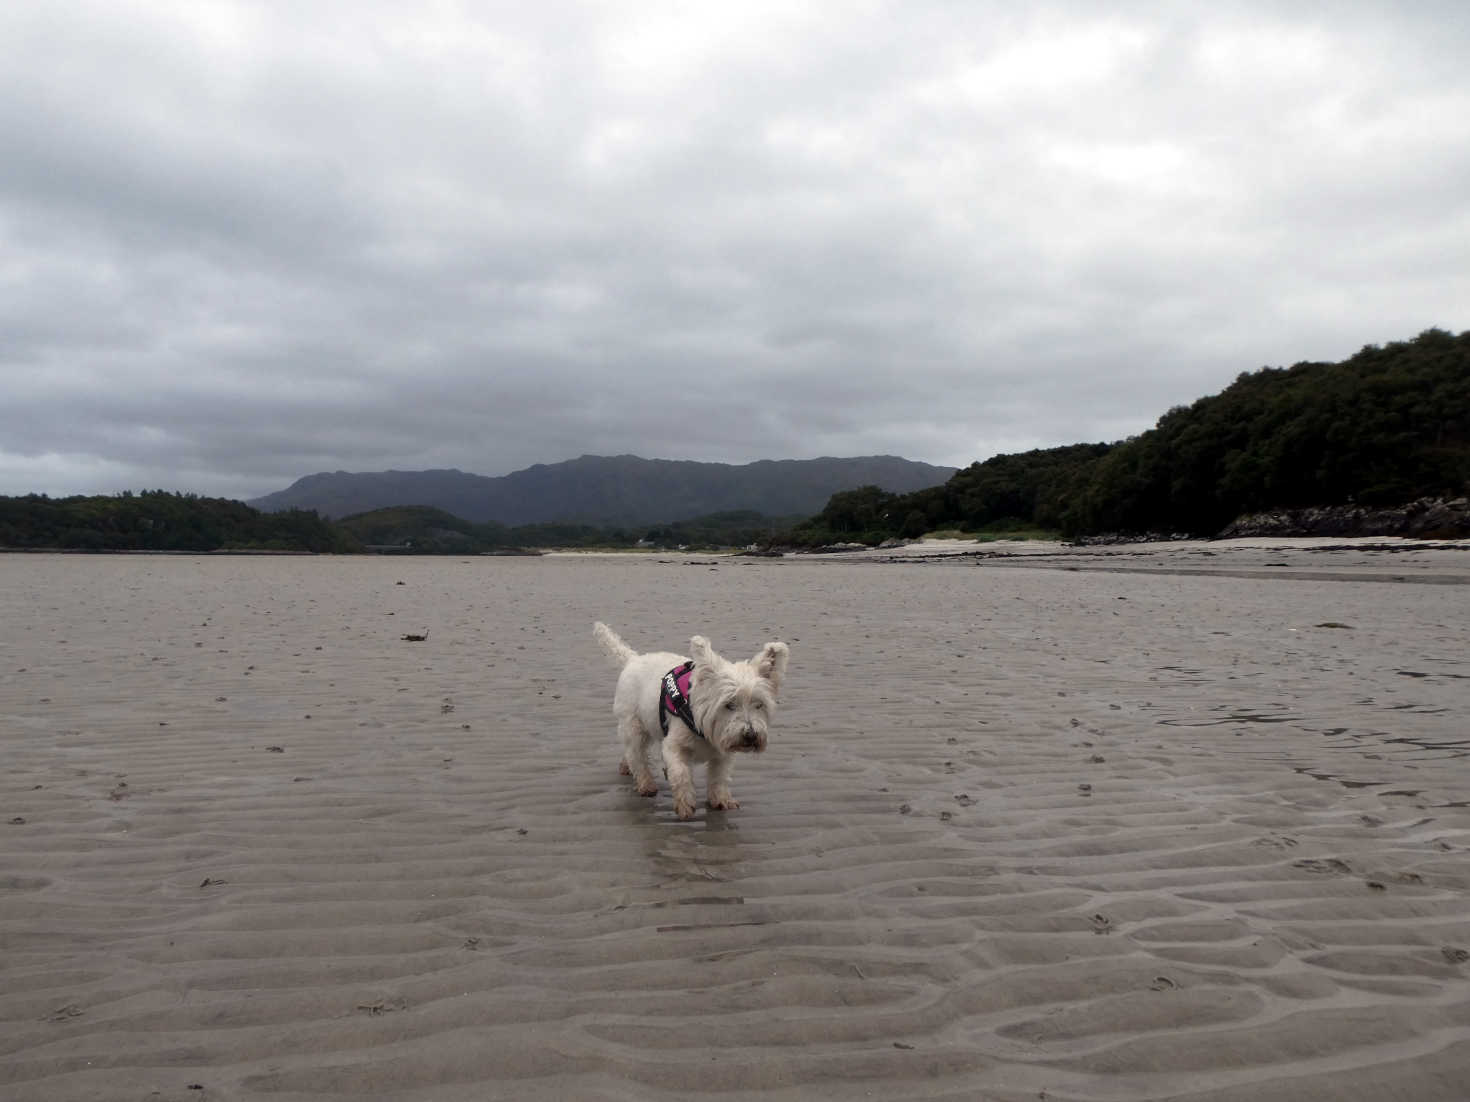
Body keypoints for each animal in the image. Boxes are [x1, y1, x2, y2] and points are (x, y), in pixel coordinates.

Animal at [590, 622, 793, 822]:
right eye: (729, 704)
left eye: (759, 704)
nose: (750, 736)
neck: (704, 724)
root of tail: (633, 659)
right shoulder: (673, 745)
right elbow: (680, 773)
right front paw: (685, 805)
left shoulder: (723, 753)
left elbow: (719, 776)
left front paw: (721, 800)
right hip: (634, 724)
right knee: (636, 753)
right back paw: (646, 784)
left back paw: (626, 767)